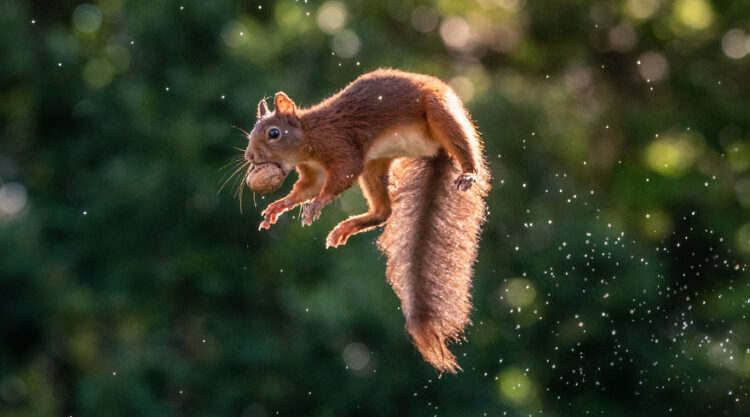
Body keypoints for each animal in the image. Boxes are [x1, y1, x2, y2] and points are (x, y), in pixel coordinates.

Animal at [244, 69, 490, 374]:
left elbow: (342, 174)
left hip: (440, 112)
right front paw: (279, 206)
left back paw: (469, 172)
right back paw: (350, 225)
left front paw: (317, 205)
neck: (310, 133)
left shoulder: (339, 144)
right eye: (251, 133)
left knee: (464, 143)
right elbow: (306, 189)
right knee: (384, 211)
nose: (249, 156)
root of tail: (436, 150)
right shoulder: (313, 173)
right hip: (376, 165)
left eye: (273, 133)